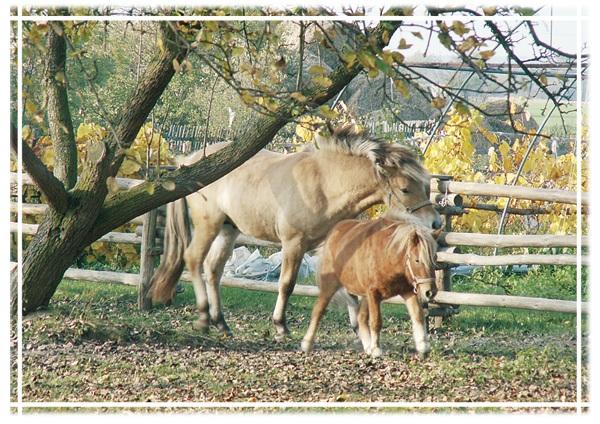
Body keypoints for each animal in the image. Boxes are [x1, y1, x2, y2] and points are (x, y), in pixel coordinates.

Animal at [150, 124, 440, 340]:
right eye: (405, 189)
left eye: (426, 186)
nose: (436, 223)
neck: (325, 183)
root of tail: (187, 162)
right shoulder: (293, 244)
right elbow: (287, 284)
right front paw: (280, 326)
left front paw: (359, 328)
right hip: (208, 226)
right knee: (194, 260)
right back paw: (203, 317)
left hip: (228, 231)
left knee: (212, 270)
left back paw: (220, 322)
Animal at [300, 215, 440, 358]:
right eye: (417, 260)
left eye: (434, 257)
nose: (430, 292)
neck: (387, 256)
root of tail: (334, 231)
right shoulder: (374, 293)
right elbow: (376, 322)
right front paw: (376, 349)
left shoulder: (407, 291)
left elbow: (418, 315)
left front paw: (423, 346)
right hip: (330, 286)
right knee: (318, 310)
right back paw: (307, 343)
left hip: (364, 296)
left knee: (360, 318)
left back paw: (367, 346)